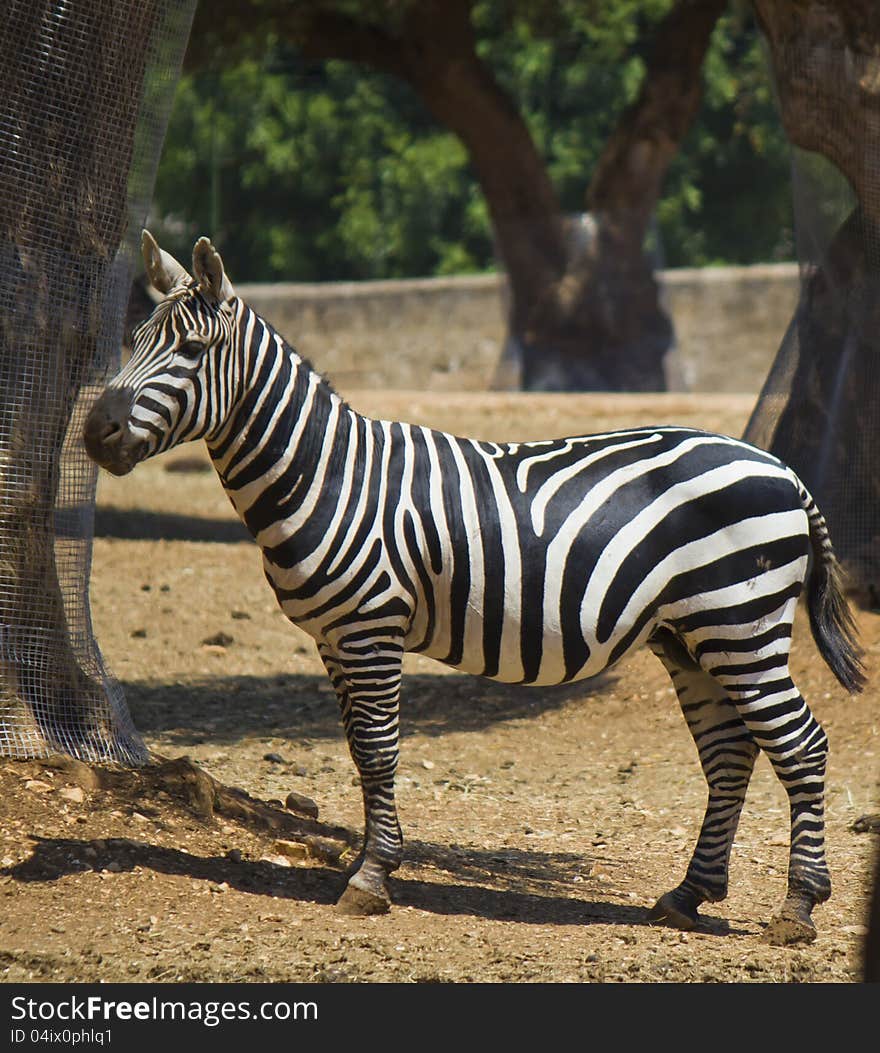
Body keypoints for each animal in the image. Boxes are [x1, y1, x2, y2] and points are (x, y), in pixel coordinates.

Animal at [84, 232, 867, 947]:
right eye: (135, 342)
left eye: (189, 351)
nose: (96, 432)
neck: (325, 473)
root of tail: (781, 467)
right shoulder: (334, 637)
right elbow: (359, 750)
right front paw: (371, 863)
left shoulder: (371, 625)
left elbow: (379, 748)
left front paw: (371, 878)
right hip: (689, 635)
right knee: (732, 751)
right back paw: (688, 895)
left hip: (739, 620)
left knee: (801, 743)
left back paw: (798, 907)